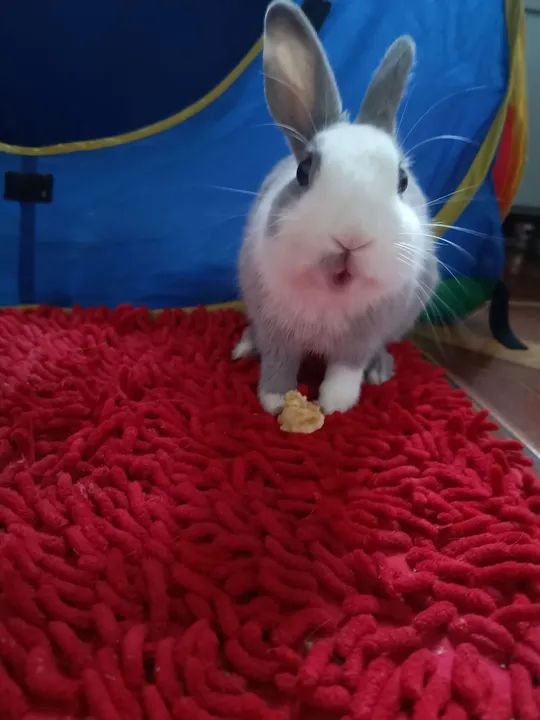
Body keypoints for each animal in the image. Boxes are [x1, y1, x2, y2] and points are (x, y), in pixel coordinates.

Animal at [233, 0, 439, 415]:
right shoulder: (276, 327)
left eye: (402, 180)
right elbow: (279, 363)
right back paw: (245, 345)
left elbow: (346, 369)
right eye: (303, 170)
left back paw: (380, 370)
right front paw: (276, 402)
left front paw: (335, 406)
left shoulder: (360, 337)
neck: (331, 293)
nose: (351, 238)